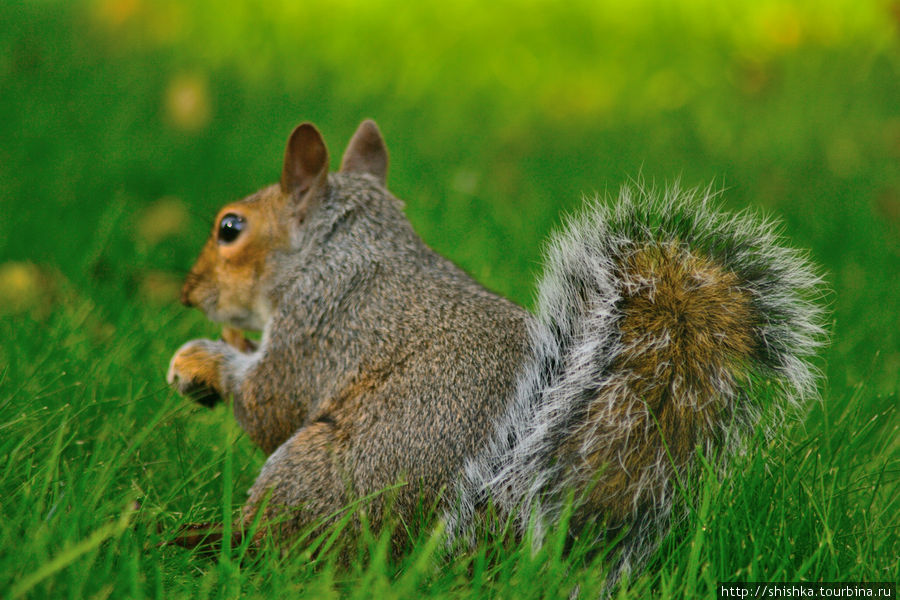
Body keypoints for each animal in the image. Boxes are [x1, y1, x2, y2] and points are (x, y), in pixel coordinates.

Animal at [165, 120, 828, 576]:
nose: (188, 291)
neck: (342, 247)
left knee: (281, 540)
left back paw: (210, 538)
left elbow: (267, 404)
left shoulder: (317, 328)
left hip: (313, 472)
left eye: (230, 228)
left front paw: (204, 358)